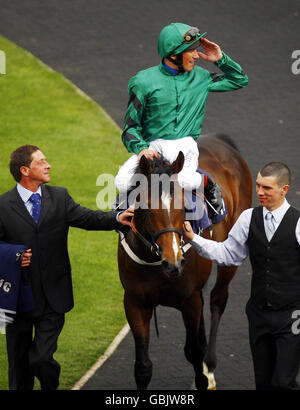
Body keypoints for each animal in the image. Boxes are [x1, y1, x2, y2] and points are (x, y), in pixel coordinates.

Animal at [116, 135, 252, 390]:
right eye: (147, 209)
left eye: (183, 206)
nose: (174, 263)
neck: (155, 262)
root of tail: (220, 140)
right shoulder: (134, 301)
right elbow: (143, 367)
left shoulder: (189, 300)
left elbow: (193, 352)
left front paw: (203, 376)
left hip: (232, 251)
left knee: (217, 299)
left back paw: (210, 366)